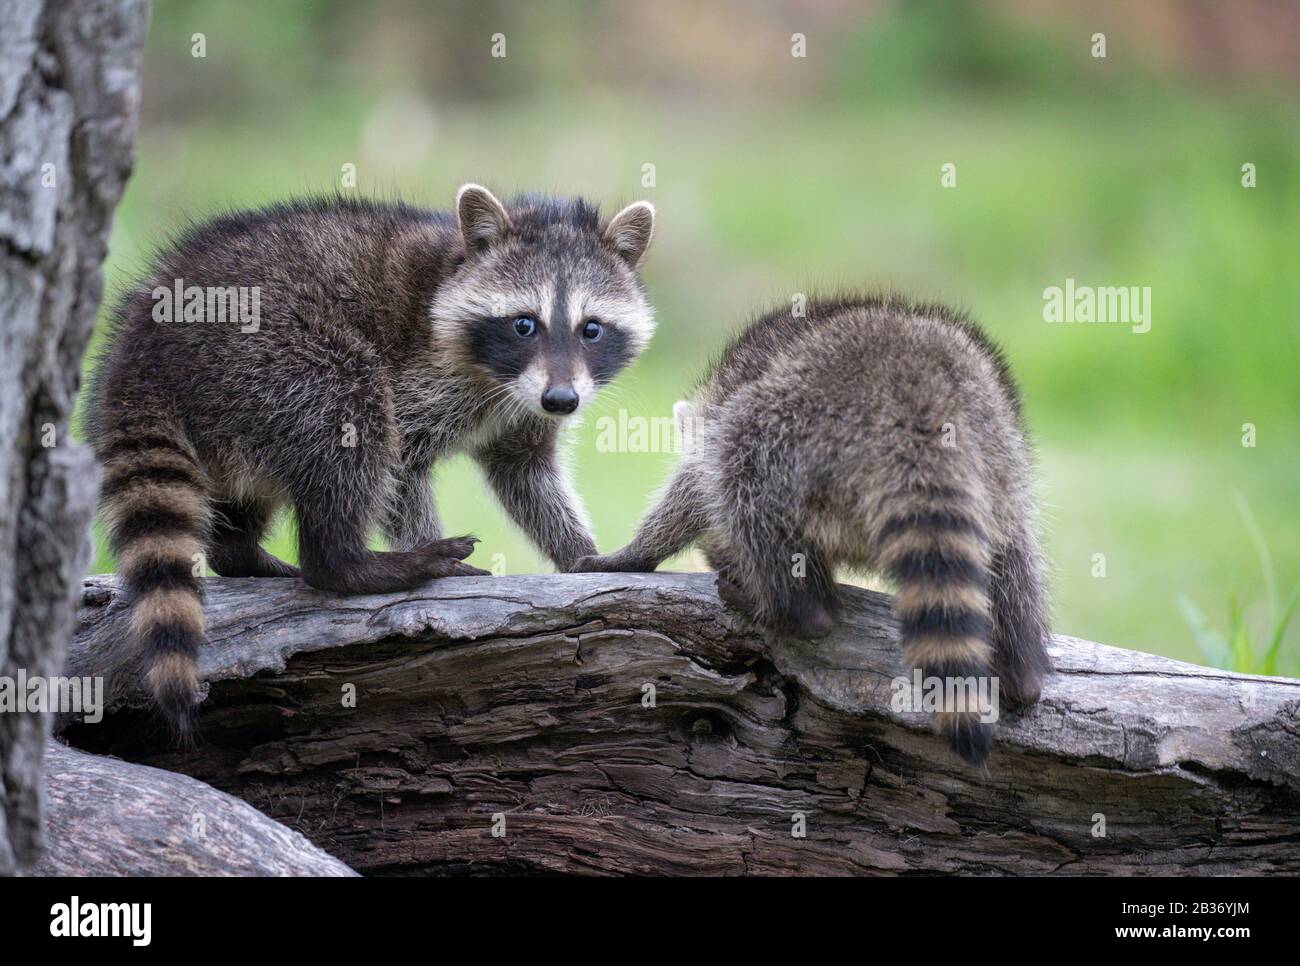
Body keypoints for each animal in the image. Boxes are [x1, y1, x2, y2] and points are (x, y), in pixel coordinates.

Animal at [86, 185, 656, 738]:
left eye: (591, 329)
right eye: (524, 324)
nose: (561, 400)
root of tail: (139, 351)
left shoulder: (528, 409)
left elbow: (526, 473)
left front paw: (579, 553)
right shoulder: (421, 370)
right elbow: (400, 463)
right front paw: (429, 551)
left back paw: (242, 551)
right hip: (263, 351)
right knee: (349, 404)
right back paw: (346, 562)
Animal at [574, 294, 1051, 764]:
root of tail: (915, 390)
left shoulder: (716, 423)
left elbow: (690, 492)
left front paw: (638, 550)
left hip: (793, 430)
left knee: (741, 472)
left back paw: (788, 607)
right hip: (1001, 465)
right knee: (1012, 556)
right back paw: (1022, 668)